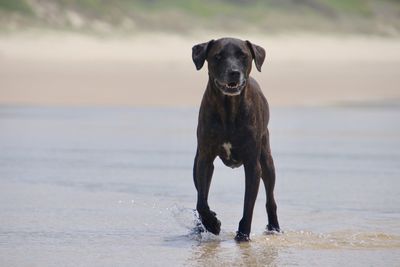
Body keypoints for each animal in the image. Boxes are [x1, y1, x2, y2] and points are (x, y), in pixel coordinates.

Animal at [192, 36, 280, 242]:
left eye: (243, 55)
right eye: (217, 56)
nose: (234, 72)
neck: (228, 108)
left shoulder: (252, 164)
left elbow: (248, 204)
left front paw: (243, 234)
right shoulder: (204, 159)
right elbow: (201, 201)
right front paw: (212, 223)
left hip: (266, 157)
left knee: (270, 198)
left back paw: (274, 227)